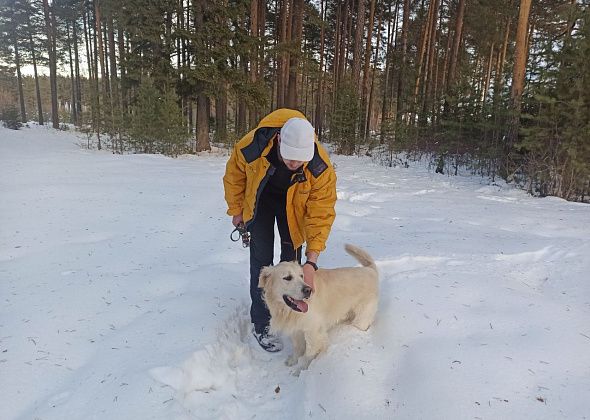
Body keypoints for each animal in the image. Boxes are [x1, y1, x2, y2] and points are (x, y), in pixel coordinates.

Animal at [262, 244, 382, 376]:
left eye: (301, 276)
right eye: (287, 278)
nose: (308, 290)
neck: (288, 311)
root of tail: (370, 270)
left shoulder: (314, 332)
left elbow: (308, 354)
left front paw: (300, 371)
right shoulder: (297, 330)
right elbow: (297, 347)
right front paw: (293, 360)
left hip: (362, 318)